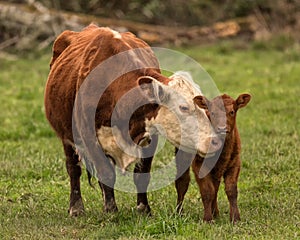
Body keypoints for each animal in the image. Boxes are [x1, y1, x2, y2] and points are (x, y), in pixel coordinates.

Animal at [44, 23, 223, 216]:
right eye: (183, 107)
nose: (215, 142)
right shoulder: (89, 137)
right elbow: (106, 173)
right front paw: (111, 210)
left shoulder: (150, 136)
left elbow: (141, 174)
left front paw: (143, 208)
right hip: (66, 136)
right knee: (73, 168)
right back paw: (76, 207)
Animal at [173, 93, 251, 222]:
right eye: (213, 113)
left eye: (232, 112)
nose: (222, 128)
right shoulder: (199, 165)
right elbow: (207, 191)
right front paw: (208, 219)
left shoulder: (235, 164)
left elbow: (231, 190)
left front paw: (235, 218)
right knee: (182, 182)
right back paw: (179, 212)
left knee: (215, 186)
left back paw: (216, 213)